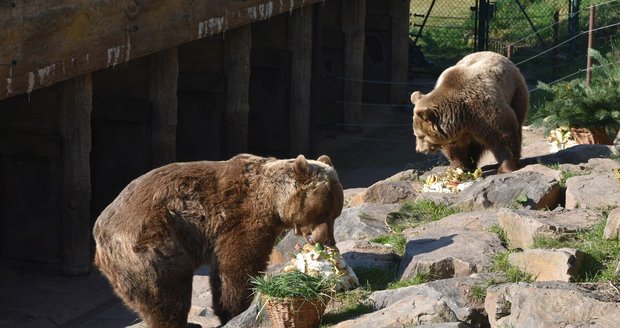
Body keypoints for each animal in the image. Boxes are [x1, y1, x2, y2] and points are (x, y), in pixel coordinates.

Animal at [92, 152, 344, 326]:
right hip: (149, 242)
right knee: (167, 287)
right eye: (322, 213)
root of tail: (99, 236)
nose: (328, 241)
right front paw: (236, 309)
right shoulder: (241, 216)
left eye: (335, 214)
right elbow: (236, 264)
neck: (272, 201)